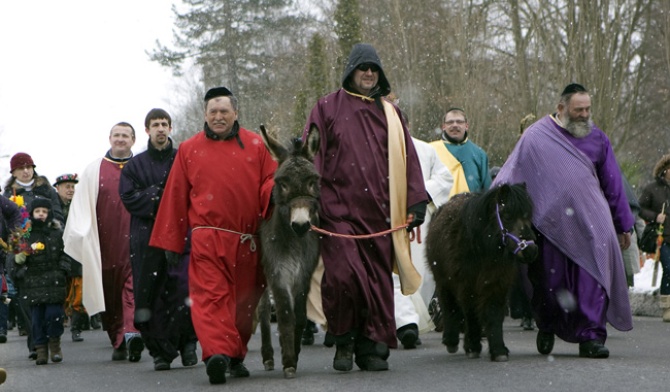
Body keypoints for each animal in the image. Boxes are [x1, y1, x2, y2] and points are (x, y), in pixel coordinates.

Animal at [258, 125, 322, 376]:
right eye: (282, 183)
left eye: (313, 181)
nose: (301, 225)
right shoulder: (278, 271)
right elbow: (285, 314)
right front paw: (288, 362)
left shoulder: (304, 273)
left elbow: (301, 316)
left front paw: (294, 351)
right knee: (264, 311)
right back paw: (268, 357)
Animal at [430, 183, 540, 362]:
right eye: (507, 216)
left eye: (528, 216)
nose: (531, 250)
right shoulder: (467, 285)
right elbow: (471, 314)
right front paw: (473, 346)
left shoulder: (496, 283)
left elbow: (493, 314)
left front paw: (498, 349)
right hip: (443, 281)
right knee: (449, 306)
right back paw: (451, 340)